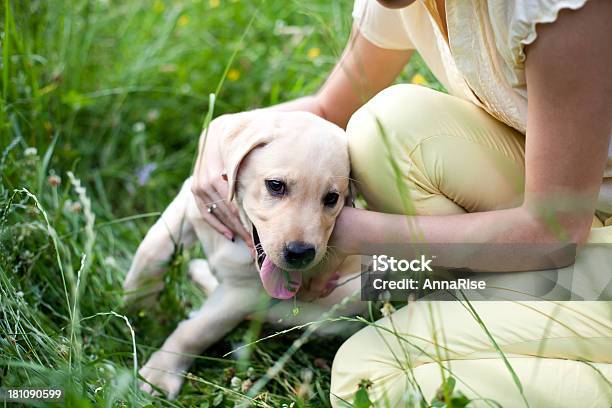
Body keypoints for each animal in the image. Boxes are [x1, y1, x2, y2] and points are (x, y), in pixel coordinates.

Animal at [123, 110, 364, 396]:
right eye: (275, 185)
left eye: (331, 198)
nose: (301, 252)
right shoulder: (192, 203)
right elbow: (151, 252)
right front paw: (137, 304)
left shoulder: (244, 294)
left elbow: (196, 331)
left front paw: (161, 374)